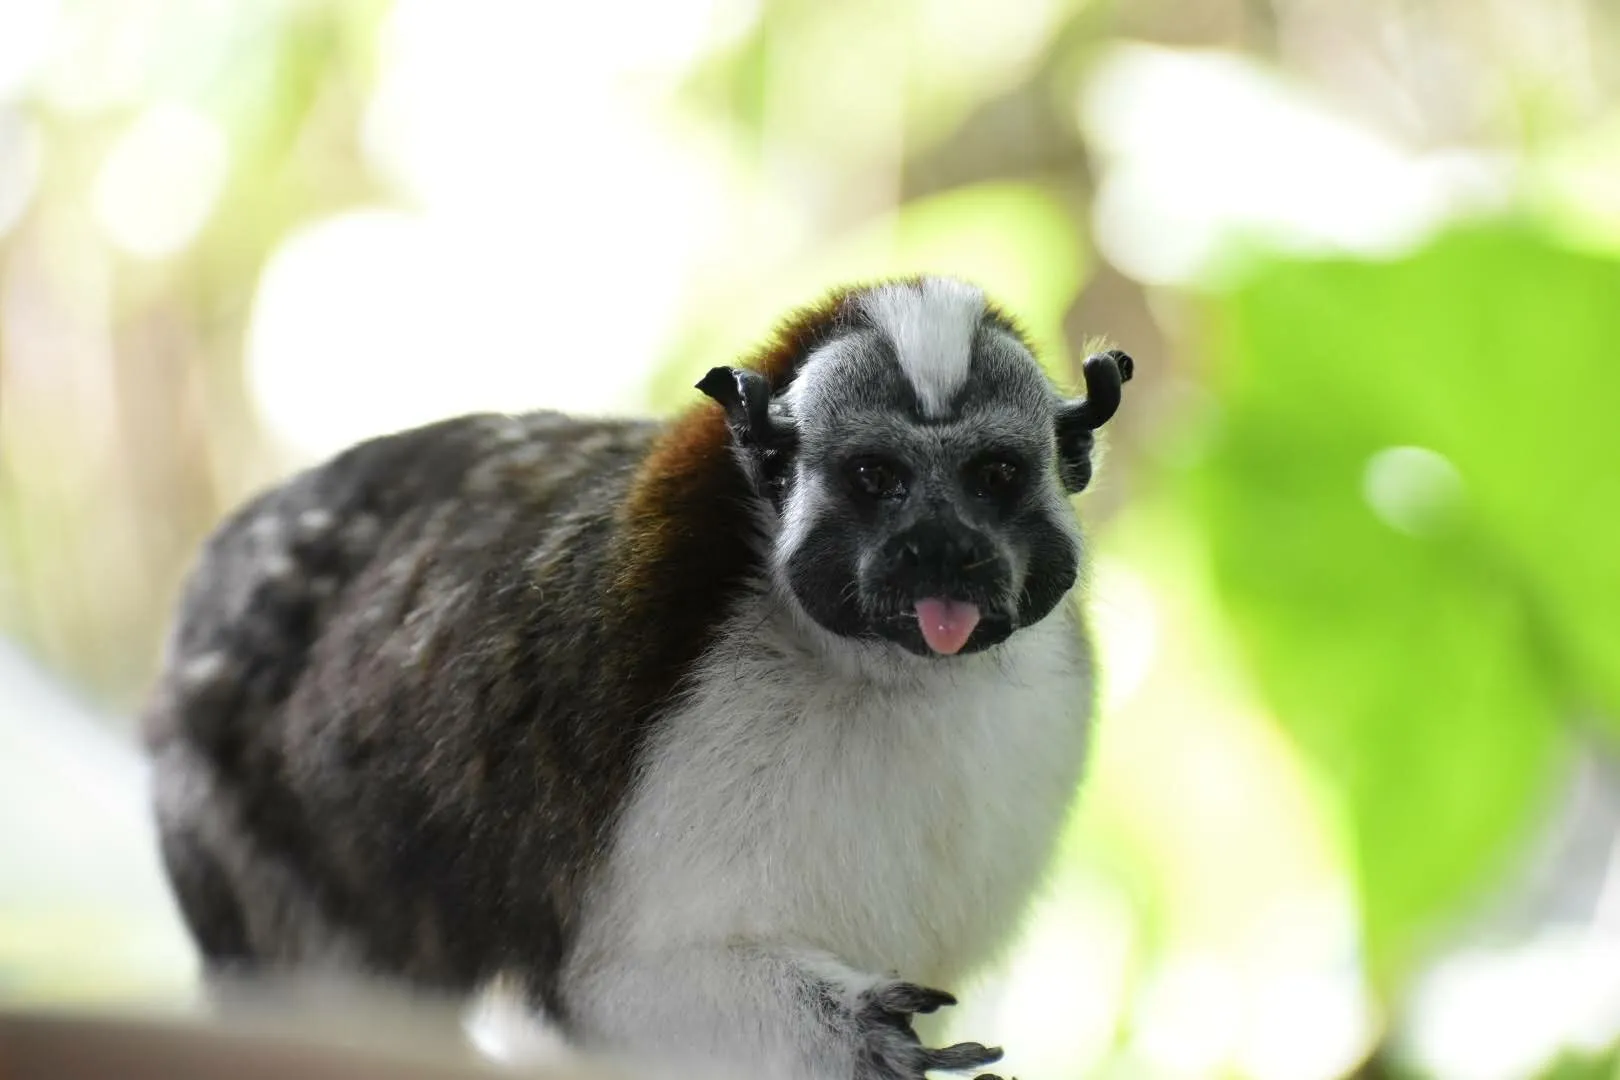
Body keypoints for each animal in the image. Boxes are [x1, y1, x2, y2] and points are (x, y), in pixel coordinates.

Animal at [140, 275, 1133, 1080]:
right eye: (874, 477)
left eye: (994, 474)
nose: (941, 550)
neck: (890, 678)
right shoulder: (683, 718)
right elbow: (617, 983)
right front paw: (857, 1035)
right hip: (224, 796)